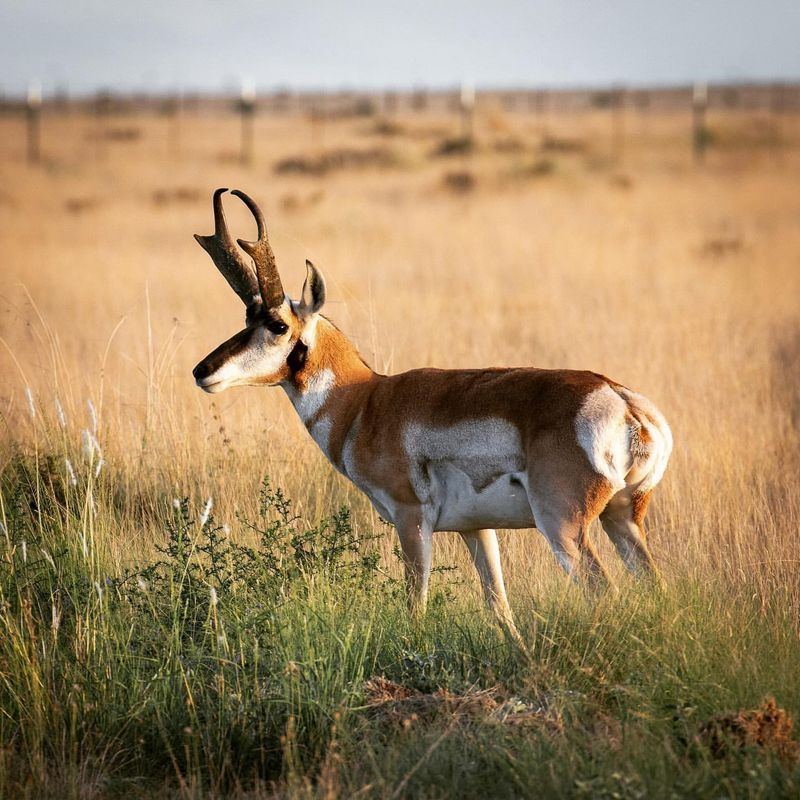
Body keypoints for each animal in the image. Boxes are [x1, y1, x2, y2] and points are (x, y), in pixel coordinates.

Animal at [192, 188, 668, 636]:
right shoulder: (476, 529)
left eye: (277, 325)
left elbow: (415, 607)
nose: (202, 371)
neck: (366, 400)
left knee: (603, 591)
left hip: (563, 526)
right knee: (656, 587)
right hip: (622, 520)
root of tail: (624, 402)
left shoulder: (411, 520)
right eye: (247, 318)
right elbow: (500, 610)